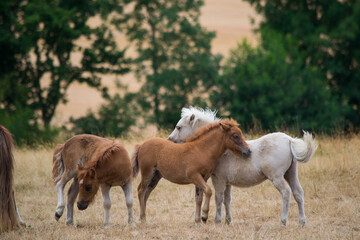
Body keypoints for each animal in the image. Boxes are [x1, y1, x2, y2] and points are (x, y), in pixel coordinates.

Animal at [167, 107, 316, 227]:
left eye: (178, 127)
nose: (169, 140)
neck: (223, 150)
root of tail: (289, 140)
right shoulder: (227, 182)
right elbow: (227, 200)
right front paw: (228, 221)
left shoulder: (218, 179)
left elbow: (218, 198)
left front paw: (217, 220)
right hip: (291, 173)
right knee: (298, 193)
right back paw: (302, 222)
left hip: (277, 177)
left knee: (286, 193)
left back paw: (283, 221)